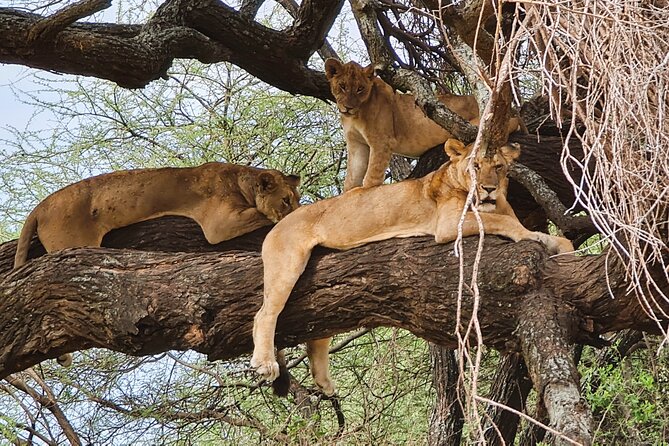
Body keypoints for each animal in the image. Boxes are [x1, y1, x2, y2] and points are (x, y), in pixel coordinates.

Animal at [14, 163, 300, 367]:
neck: (241, 180)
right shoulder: (219, 224)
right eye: (286, 200)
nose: (295, 208)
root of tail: (40, 207)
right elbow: (262, 215)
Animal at [251, 139, 572, 396]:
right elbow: (504, 222)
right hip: (288, 262)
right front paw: (534, 236)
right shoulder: (448, 224)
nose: (489, 189)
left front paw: (562, 246)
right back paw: (265, 363)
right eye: (475, 166)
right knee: (264, 314)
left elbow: (548, 235)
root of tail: (278, 223)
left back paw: (324, 381)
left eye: (500, 167)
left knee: (317, 326)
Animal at [324, 58, 523, 191]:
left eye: (360, 89)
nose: (348, 107)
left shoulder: (382, 142)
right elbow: (351, 178)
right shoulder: (356, 144)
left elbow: (371, 178)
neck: (355, 116)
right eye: (342, 86)